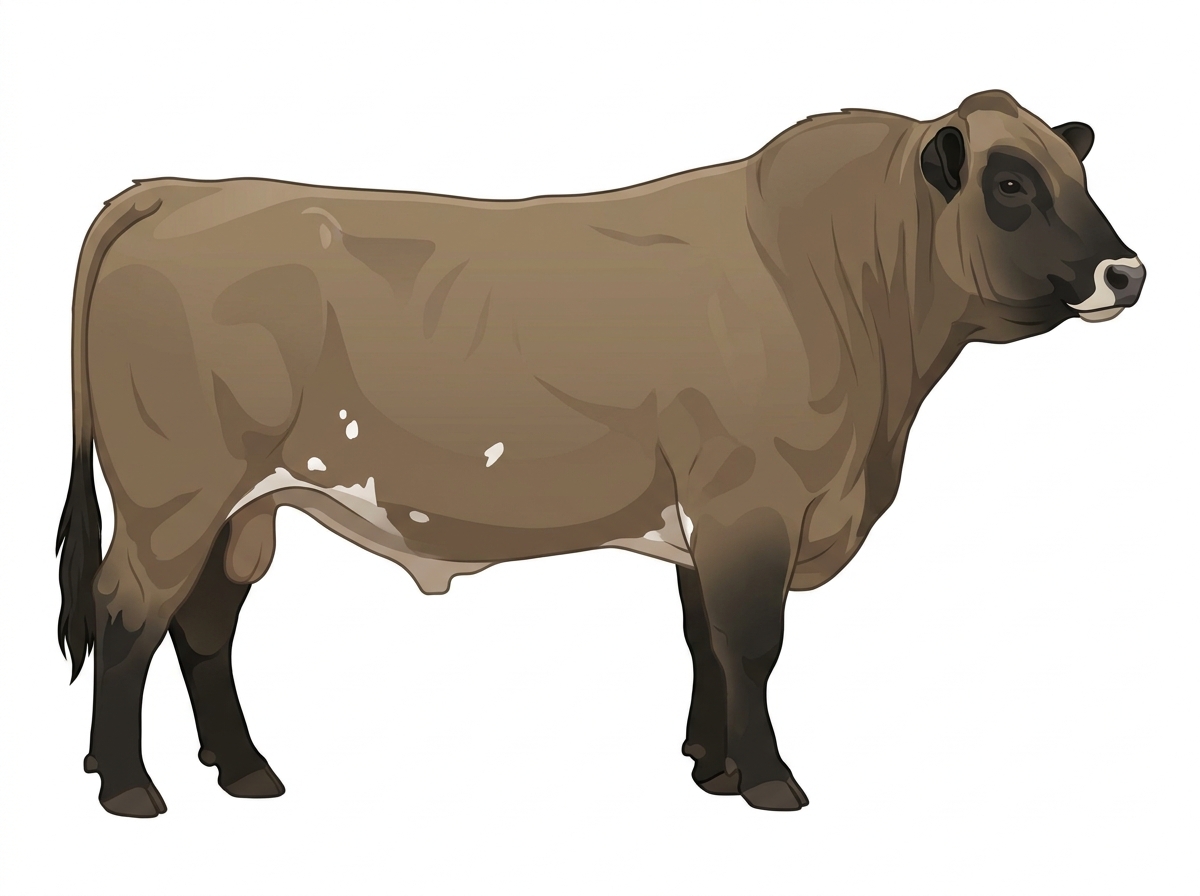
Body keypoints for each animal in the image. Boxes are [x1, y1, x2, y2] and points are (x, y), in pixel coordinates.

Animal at [56, 89, 1145, 817]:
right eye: (1012, 184)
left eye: (1081, 174)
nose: (1126, 270)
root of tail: (176, 190)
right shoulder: (753, 502)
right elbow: (752, 642)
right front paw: (771, 780)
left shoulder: (709, 516)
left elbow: (705, 638)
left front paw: (713, 766)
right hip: (174, 492)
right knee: (127, 610)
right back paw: (129, 786)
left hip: (242, 506)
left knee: (204, 621)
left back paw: (244, 770)